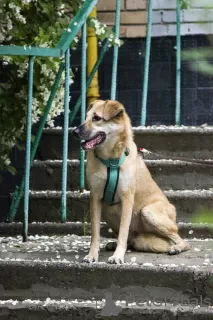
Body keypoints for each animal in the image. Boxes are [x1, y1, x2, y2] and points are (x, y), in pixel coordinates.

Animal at [73, 100, 190, 264]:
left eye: (96, 118)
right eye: (86, 117)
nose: (74, 132)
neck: (111, 159)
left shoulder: (127, 198)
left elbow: (123, 231)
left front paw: (118, 256)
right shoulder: (95, 197)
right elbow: (95, 233)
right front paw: (92, 254)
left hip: (148, 211)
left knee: (183, 241)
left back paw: (176, 247)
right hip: (108, 212)